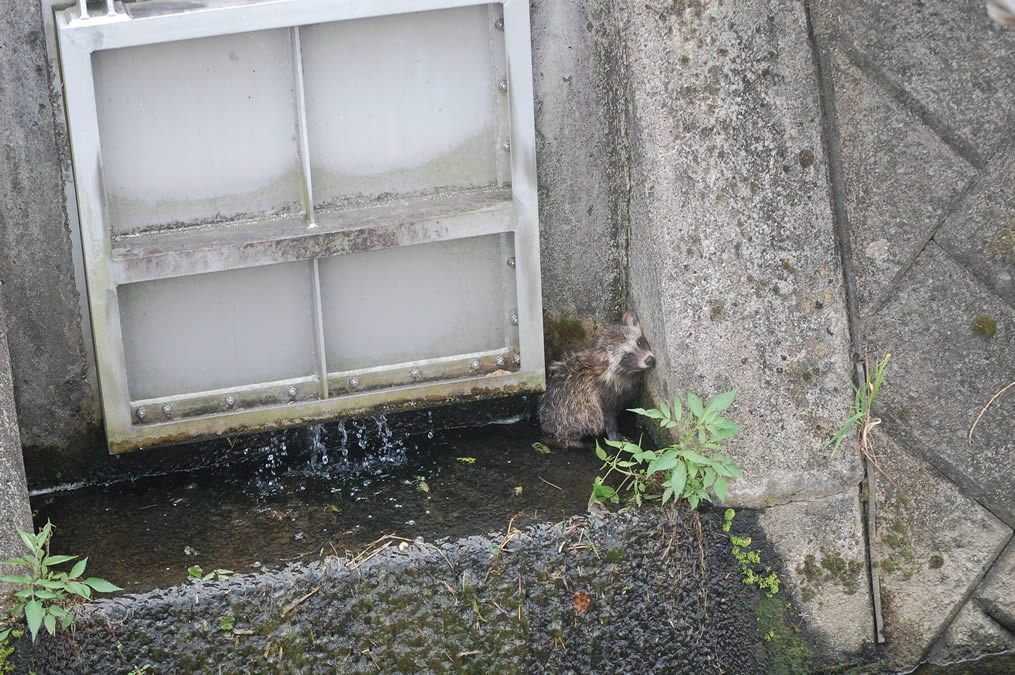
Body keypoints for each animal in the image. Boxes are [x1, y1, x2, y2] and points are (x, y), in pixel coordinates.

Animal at [539, 310, 657, 446]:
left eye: (639, 342)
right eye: (627, 356)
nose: (649, 360)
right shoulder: (601, 392)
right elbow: (607, 415)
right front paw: (613, 435)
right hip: (571, 414)